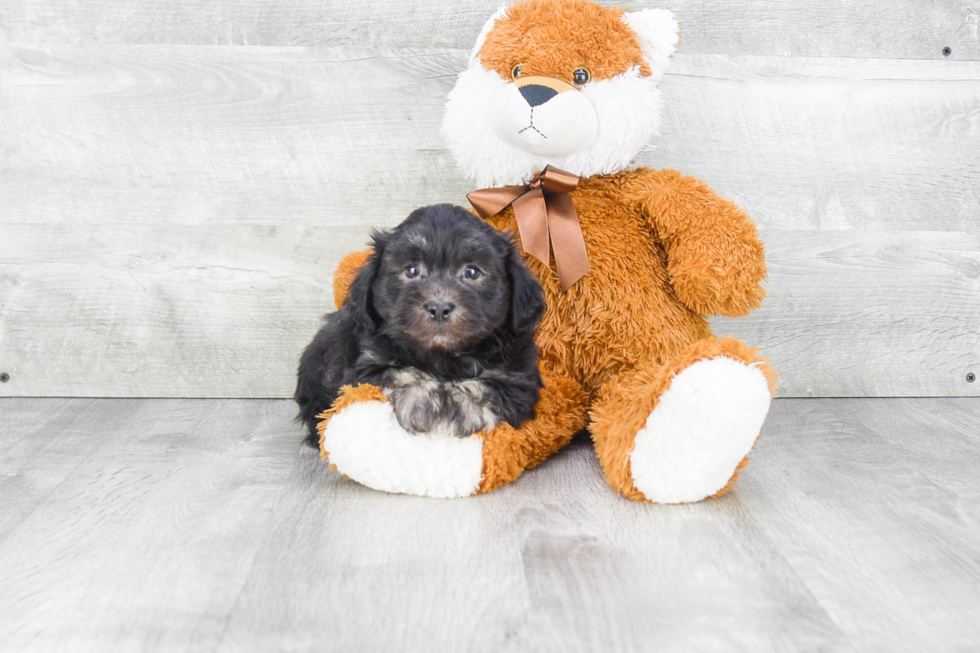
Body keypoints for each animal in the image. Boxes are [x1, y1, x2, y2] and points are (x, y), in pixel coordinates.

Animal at [298, 205, 544, 444]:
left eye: (472, 272)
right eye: (412, 270)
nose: (439, 307)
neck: (442, 356)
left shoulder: (518, 379)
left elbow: (486, 387)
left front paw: (461, 409)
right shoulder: (364, 368)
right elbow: (400, 373)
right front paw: (420, 400)